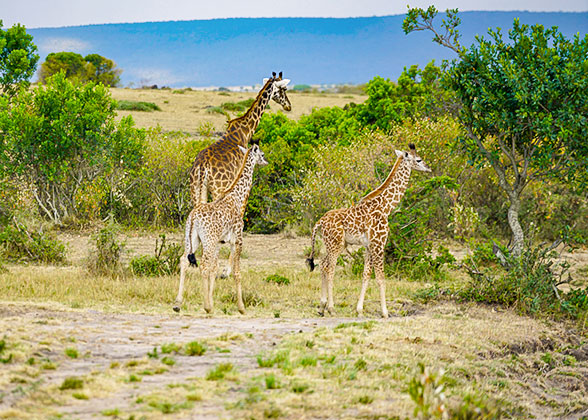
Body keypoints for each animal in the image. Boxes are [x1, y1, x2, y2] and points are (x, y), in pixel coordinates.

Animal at [173, 143, 268, 314]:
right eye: (262, 154)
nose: (266, 161)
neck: (237, 196)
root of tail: (193, 217)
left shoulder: (219, 241)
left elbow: (214, 268)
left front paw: (212, 300)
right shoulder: (237, 239)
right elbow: (236, 272)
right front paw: (241, 307)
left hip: (192, 240)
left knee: (184, 260)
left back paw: (178, 303)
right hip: (207, 240)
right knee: (203, 265)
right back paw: (206, 307)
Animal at [188, 72, 290, 207]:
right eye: (284, 89)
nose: (288, 106)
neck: (245, 131)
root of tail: (202, 167)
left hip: (195, 190)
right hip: (218, 189)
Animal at [306, 144, 430, 318]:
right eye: (418, 159)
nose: (428, 168)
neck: (385, 207)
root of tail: (319, 222)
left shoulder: (368, 245)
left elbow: (366, 275)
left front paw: (359, 310)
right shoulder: (379, 243)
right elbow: (380, 277)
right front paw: (385, 312)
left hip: (334, 244)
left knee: (323, 265)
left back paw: (322, 307)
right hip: (336, 244)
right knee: (329, 269)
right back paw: (331, 308)